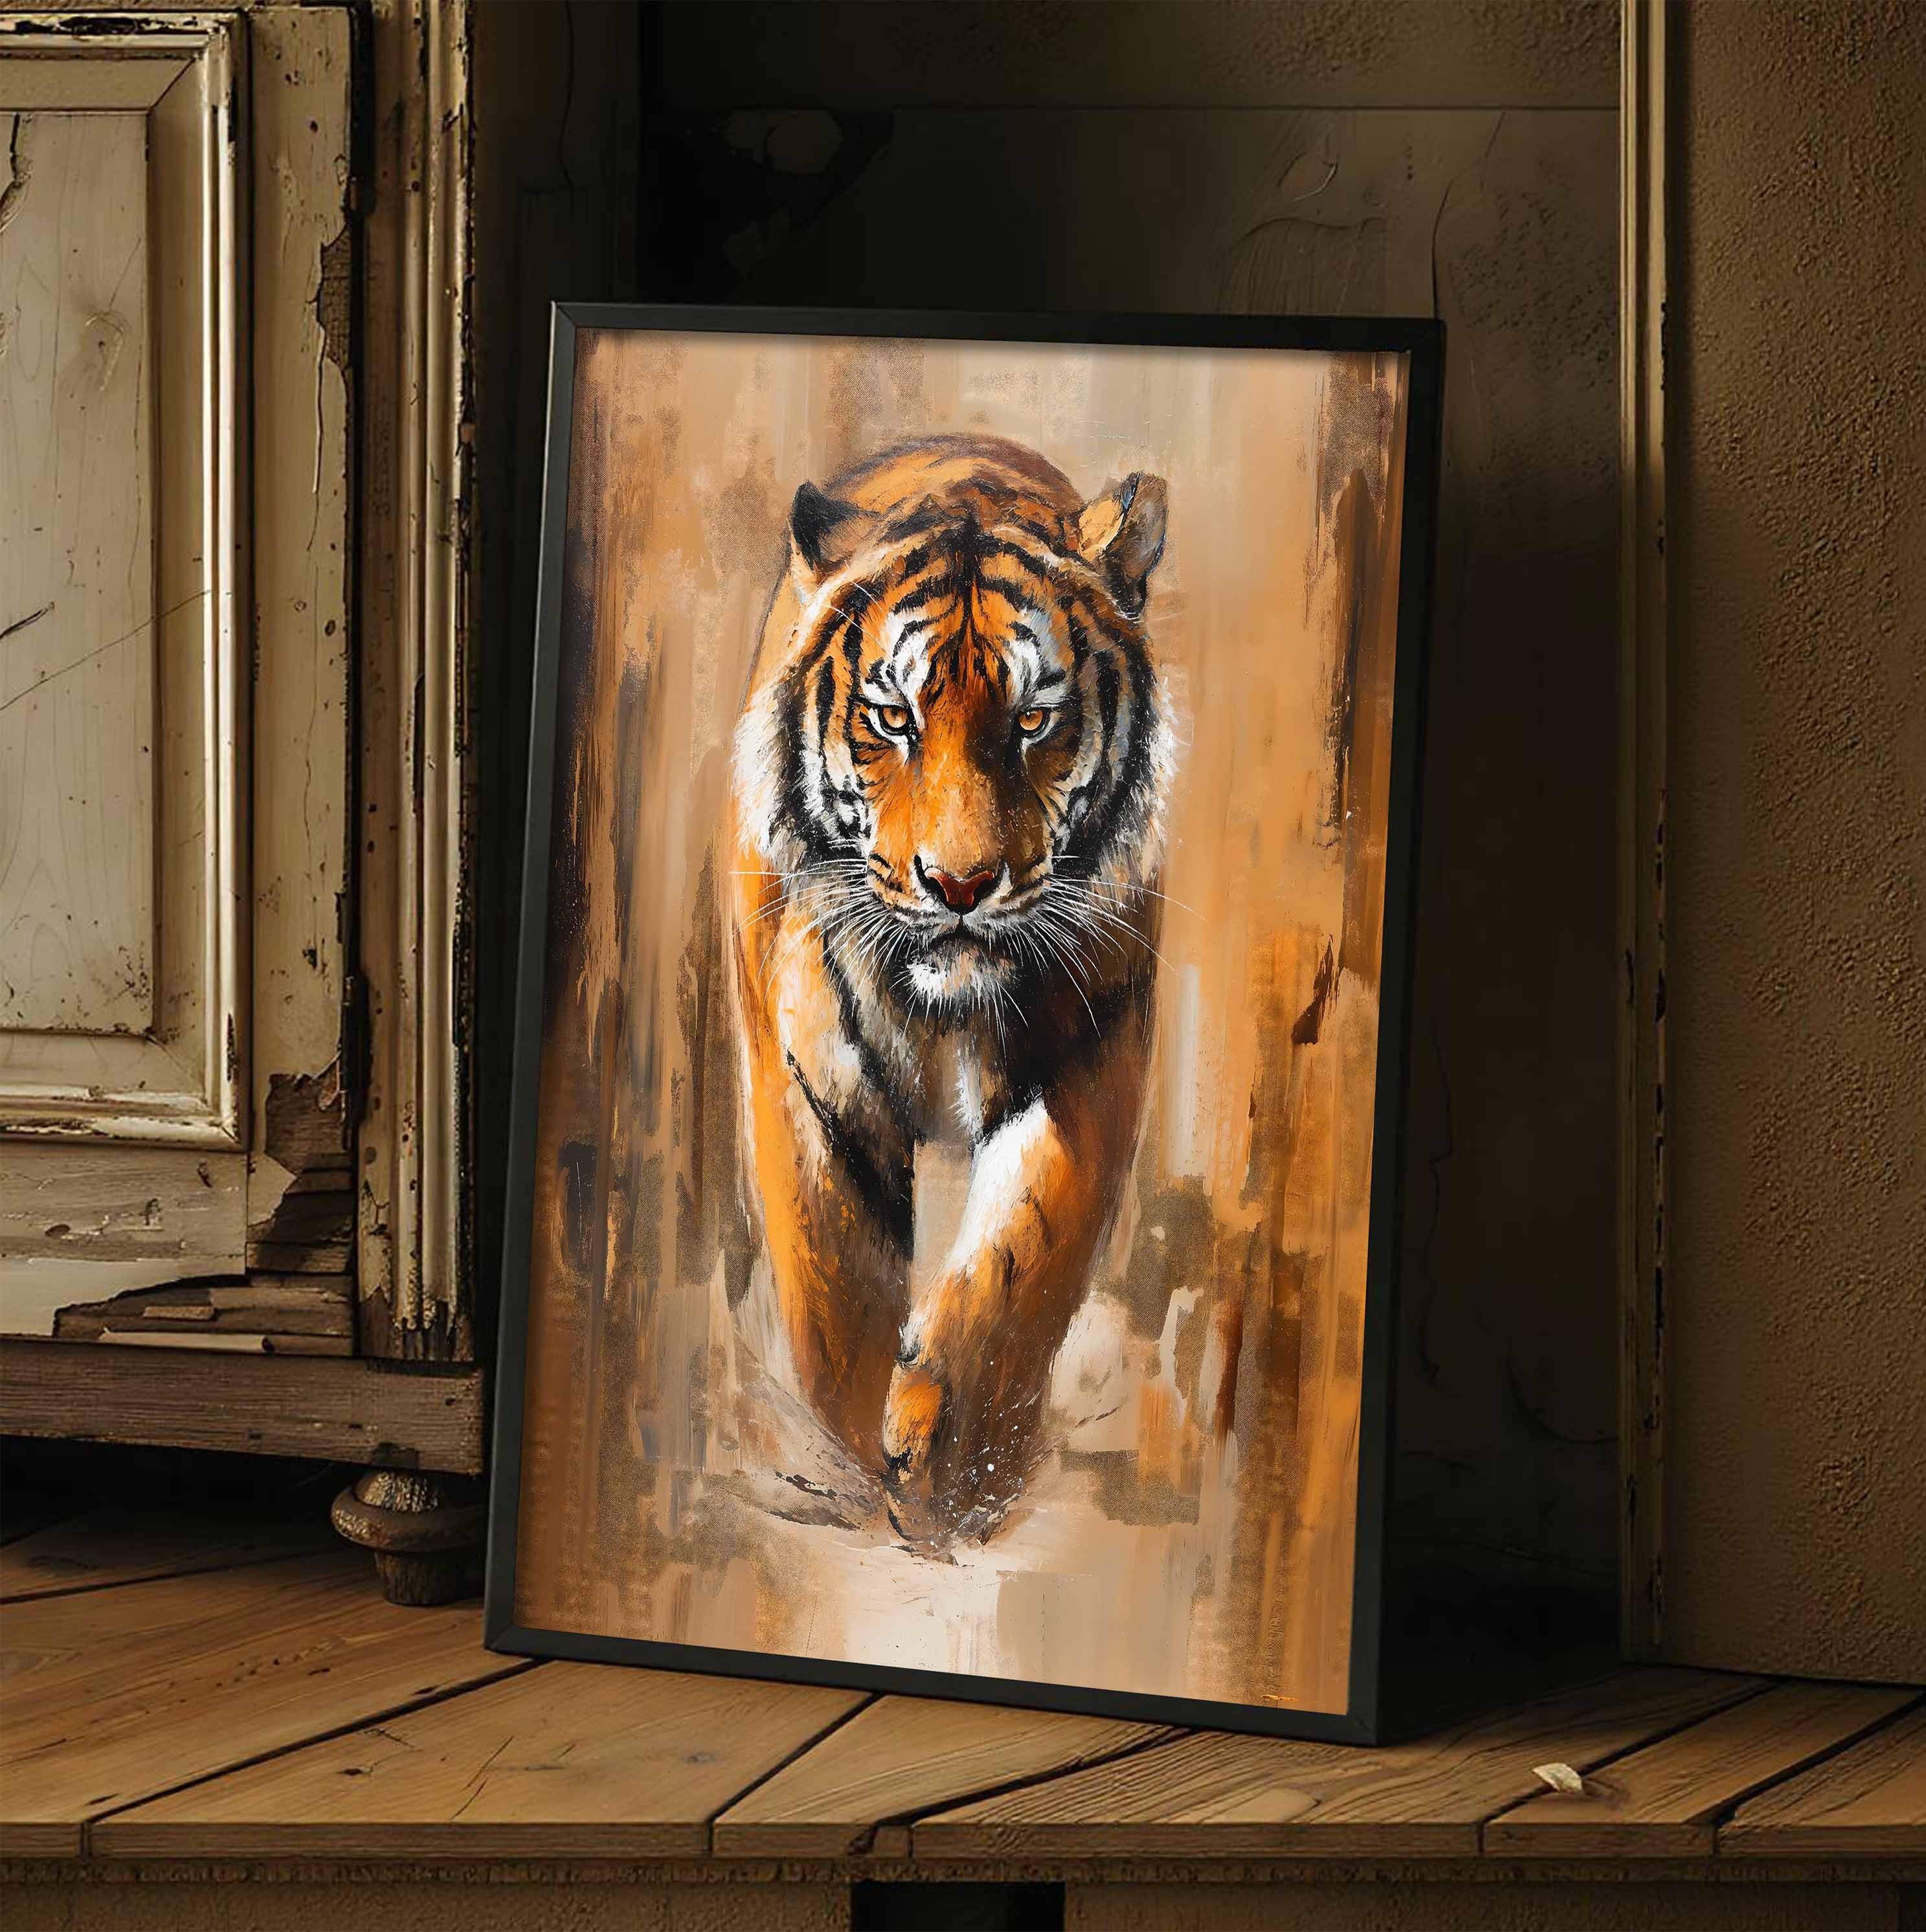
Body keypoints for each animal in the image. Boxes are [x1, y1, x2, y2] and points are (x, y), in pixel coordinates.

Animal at [724, 432, 1175, 1546]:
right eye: (892, 718)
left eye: (1034, 721)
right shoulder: (808, 1079)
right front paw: (867, 1462)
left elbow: (1020, 1262)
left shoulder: (1086, 1049)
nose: (960, 885)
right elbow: (835, 1287)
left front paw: (953, 1469)